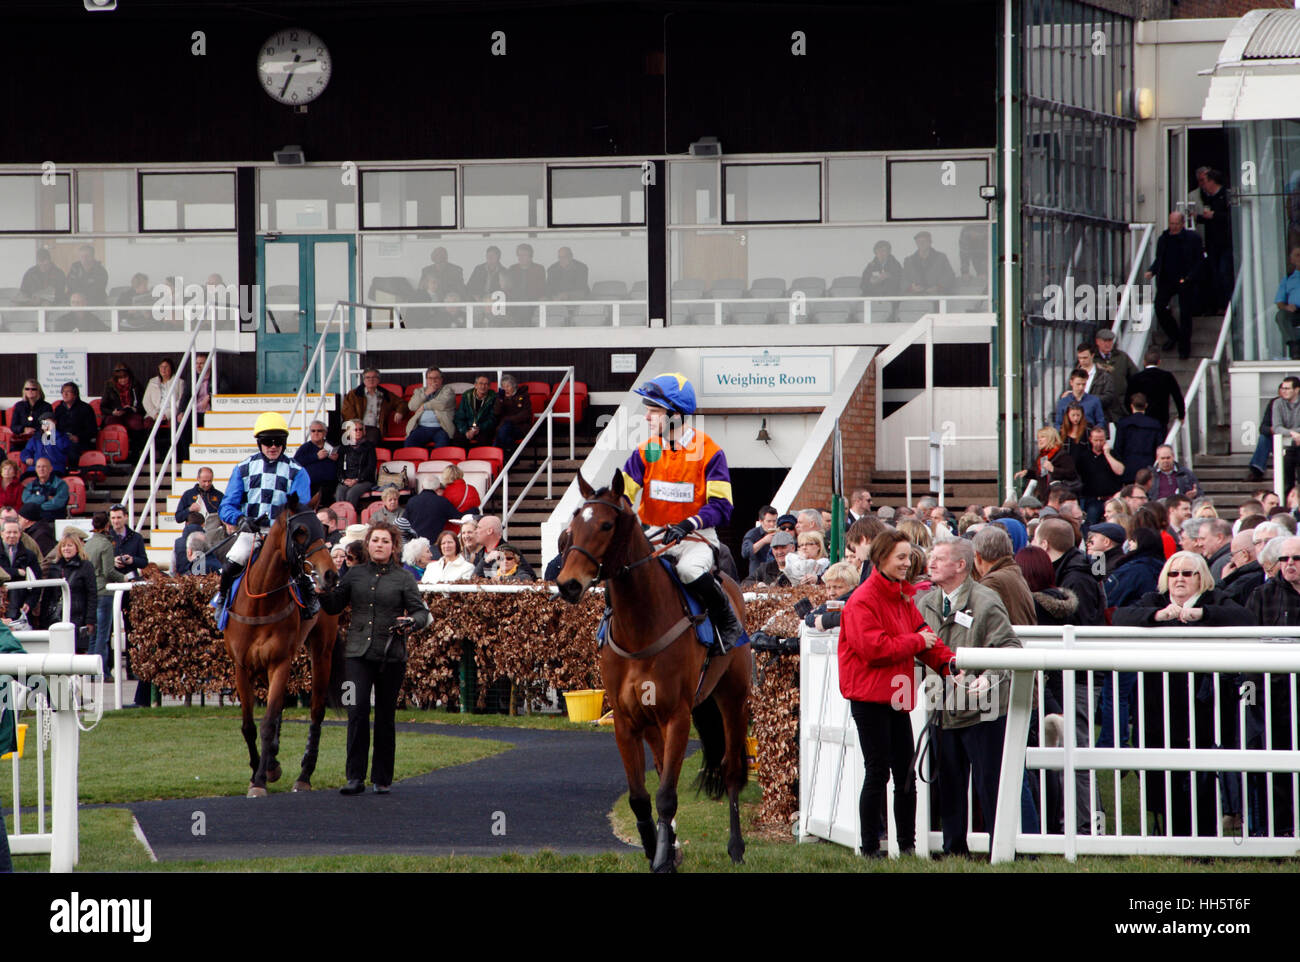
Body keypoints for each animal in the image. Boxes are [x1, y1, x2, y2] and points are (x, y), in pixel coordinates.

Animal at [224, 496, 343, 795]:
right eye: (300, 531)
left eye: (323, 529)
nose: (330, 575)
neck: (260, 602)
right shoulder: (242, 666)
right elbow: (249, 725)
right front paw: (260, 769)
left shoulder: (280, 662)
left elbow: (267, 722)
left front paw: (259, 780)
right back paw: (273, 762)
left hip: (321, 651)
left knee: (316, 711)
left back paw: (304, 775)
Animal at [559, 470, 754, 873]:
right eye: (573, 524)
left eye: (605, 525)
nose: (567, 583)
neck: (640, 627)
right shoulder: (626, 720)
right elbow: (640, 796)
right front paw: (657, 848)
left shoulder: (677, 716)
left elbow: (666, 794)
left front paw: (662, 858)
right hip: (652, 723)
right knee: (666, 765)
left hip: (732, 699)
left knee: (730, 770)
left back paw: (736, 847)